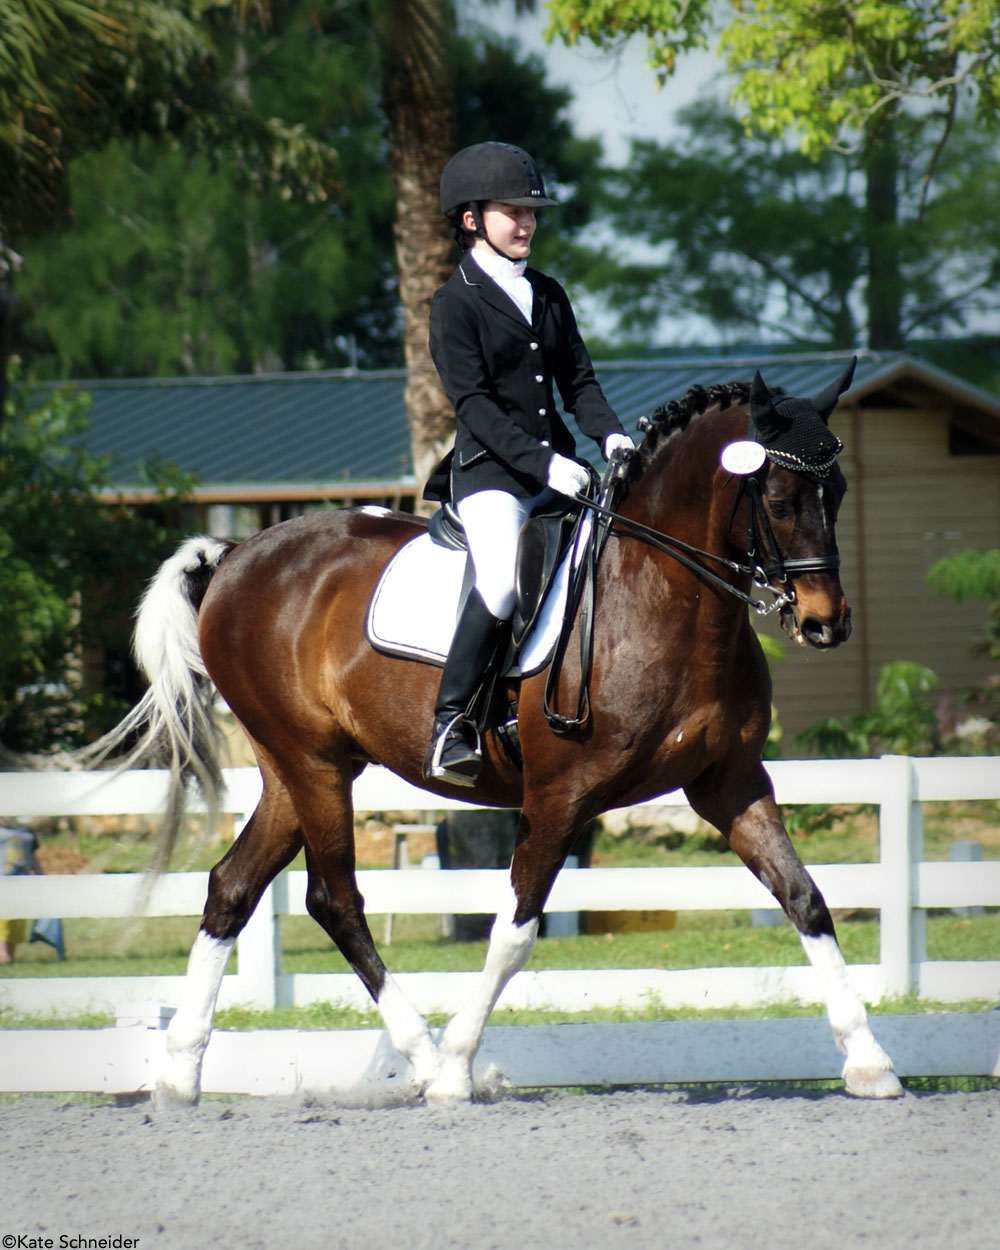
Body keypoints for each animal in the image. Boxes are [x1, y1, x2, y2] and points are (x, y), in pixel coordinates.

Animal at [97, 362, 900, 1105]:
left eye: (838, 492)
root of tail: (238, 554)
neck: (662, 596)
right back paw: (423, 1063)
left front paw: (870, 1063)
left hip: (298, 768)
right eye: (779, 499)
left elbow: (806, 900)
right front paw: (457, 1068)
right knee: (336, 901)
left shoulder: (728, 783)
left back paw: (179, 1075)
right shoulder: (558, 797)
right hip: (313, 762)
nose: (826, 623)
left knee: (232, 888)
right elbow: (514, 933)